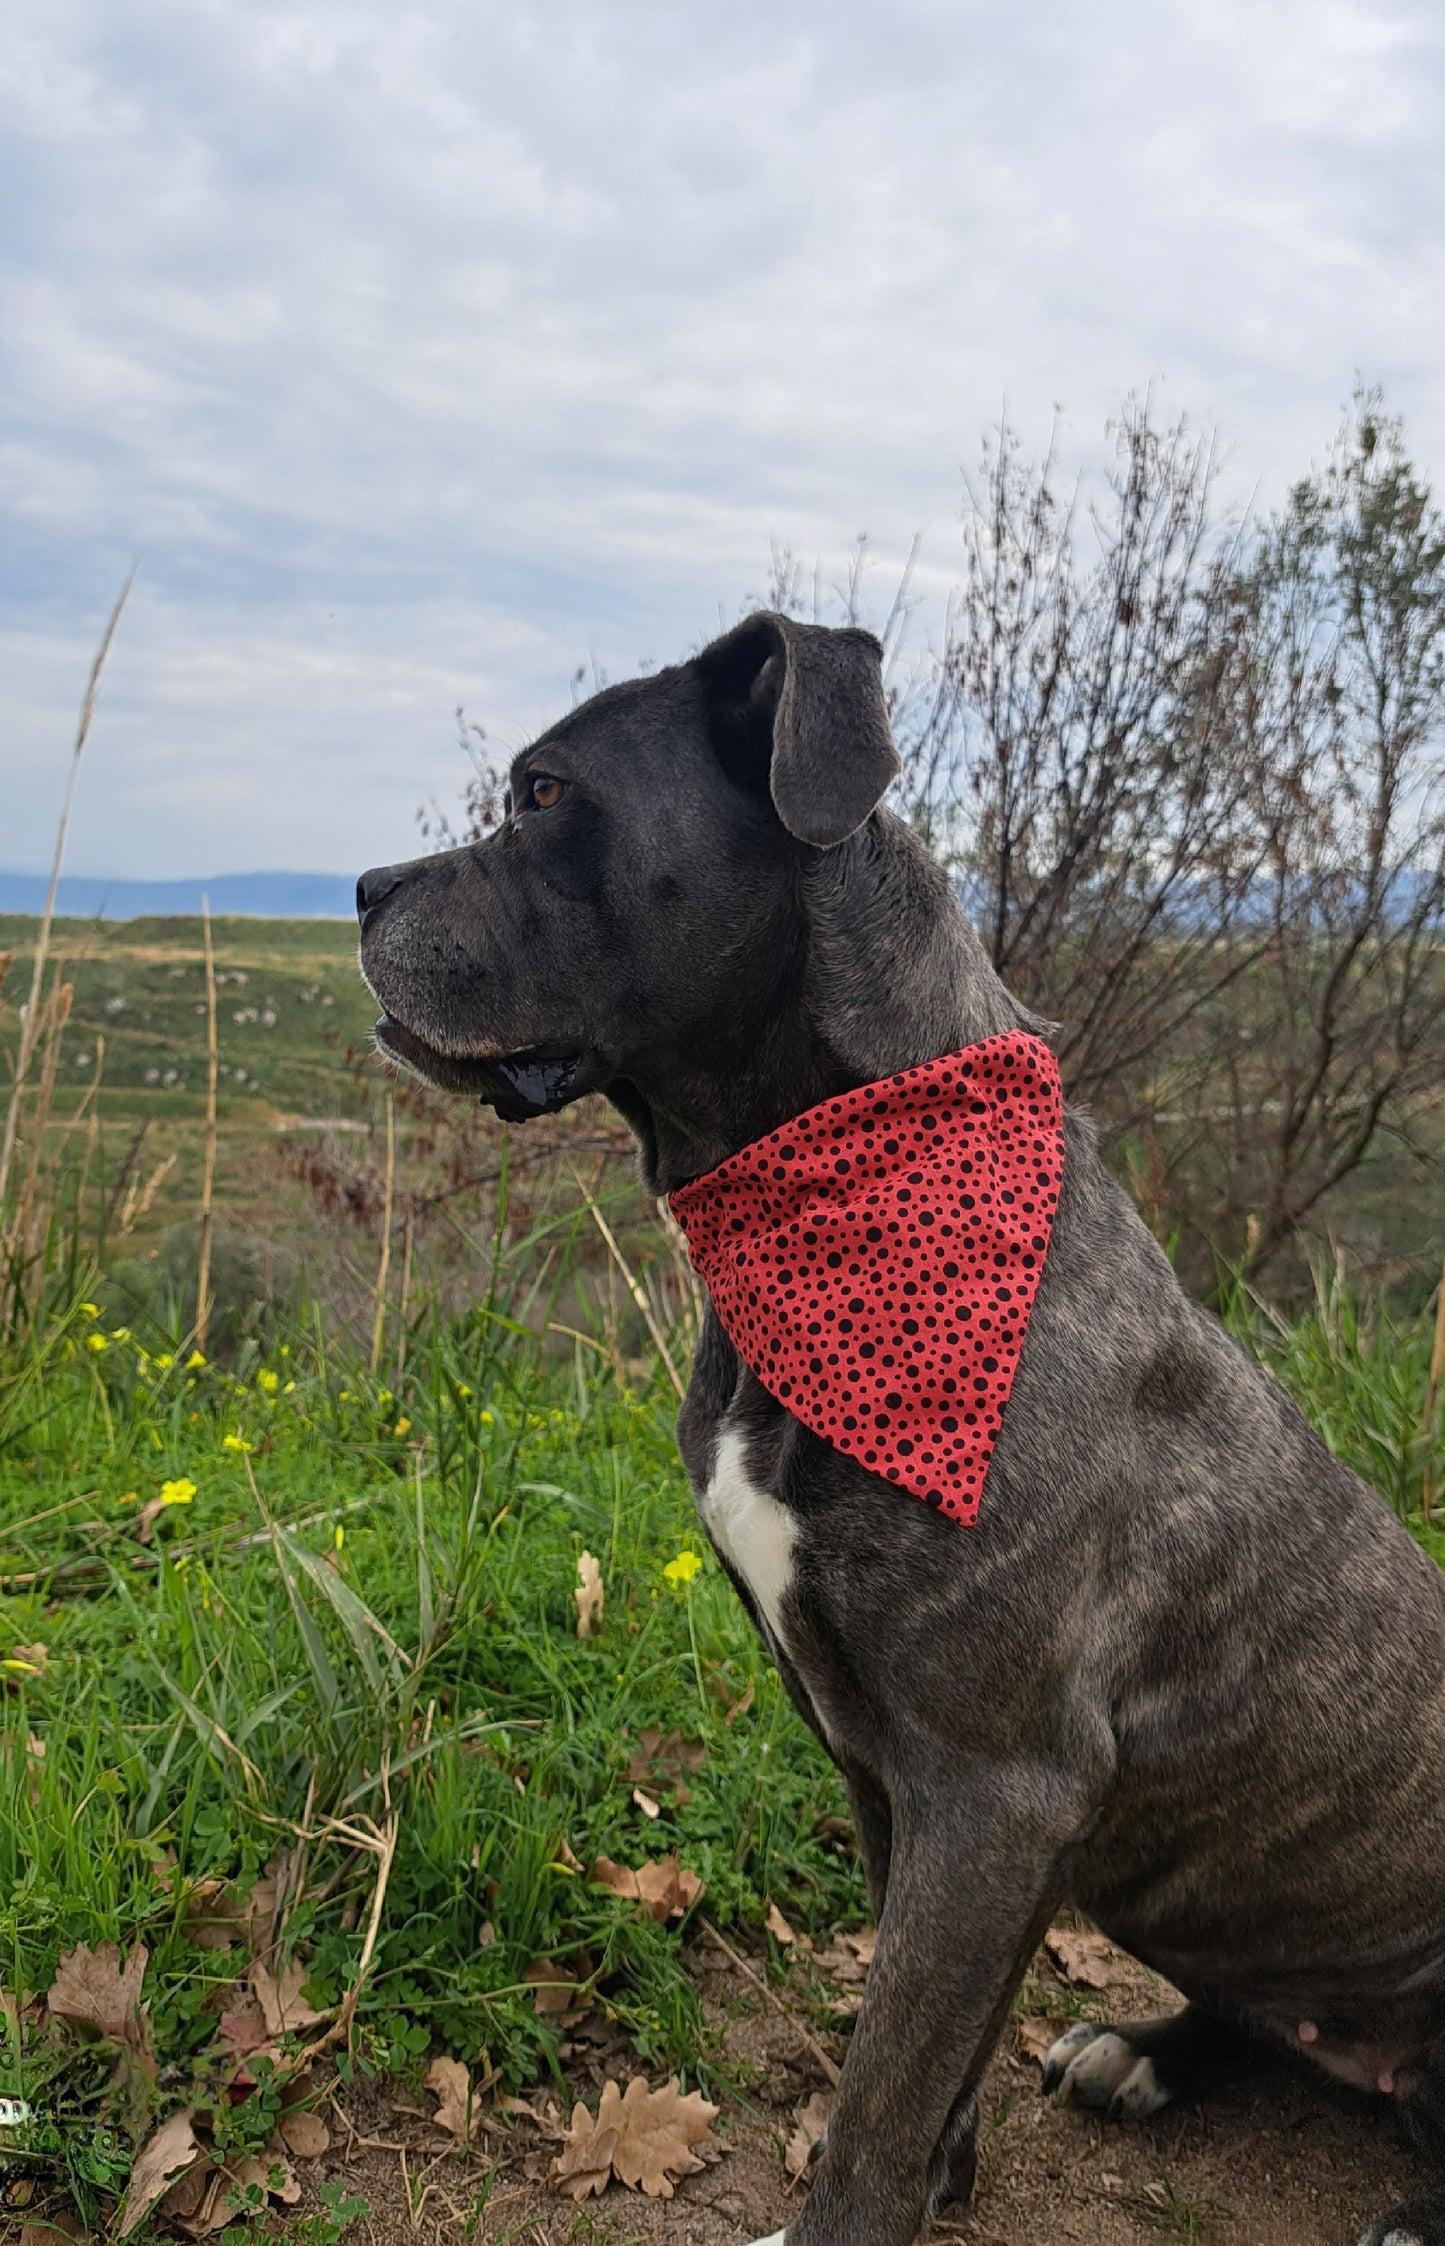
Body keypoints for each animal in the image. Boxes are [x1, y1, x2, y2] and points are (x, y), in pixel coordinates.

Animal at [359, 615, 1445, 2246]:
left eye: (545, 792)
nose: (362, 888)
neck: (813, 1203)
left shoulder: (993, 1786)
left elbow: (883, 2081)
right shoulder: (901, 1775)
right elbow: (937, 2052)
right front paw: (944, 2176)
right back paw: (1143, 2048)